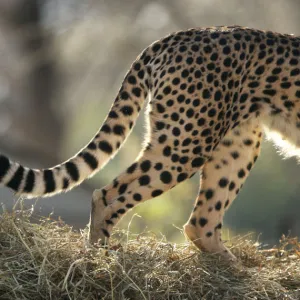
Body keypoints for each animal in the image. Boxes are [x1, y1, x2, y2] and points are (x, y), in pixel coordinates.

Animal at [0, 25, 300, 260]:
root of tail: (181, 34)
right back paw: (101, 257)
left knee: (199, 223)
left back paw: (235, 268)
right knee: (106, 195)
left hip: (237, 141)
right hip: (184, 144)